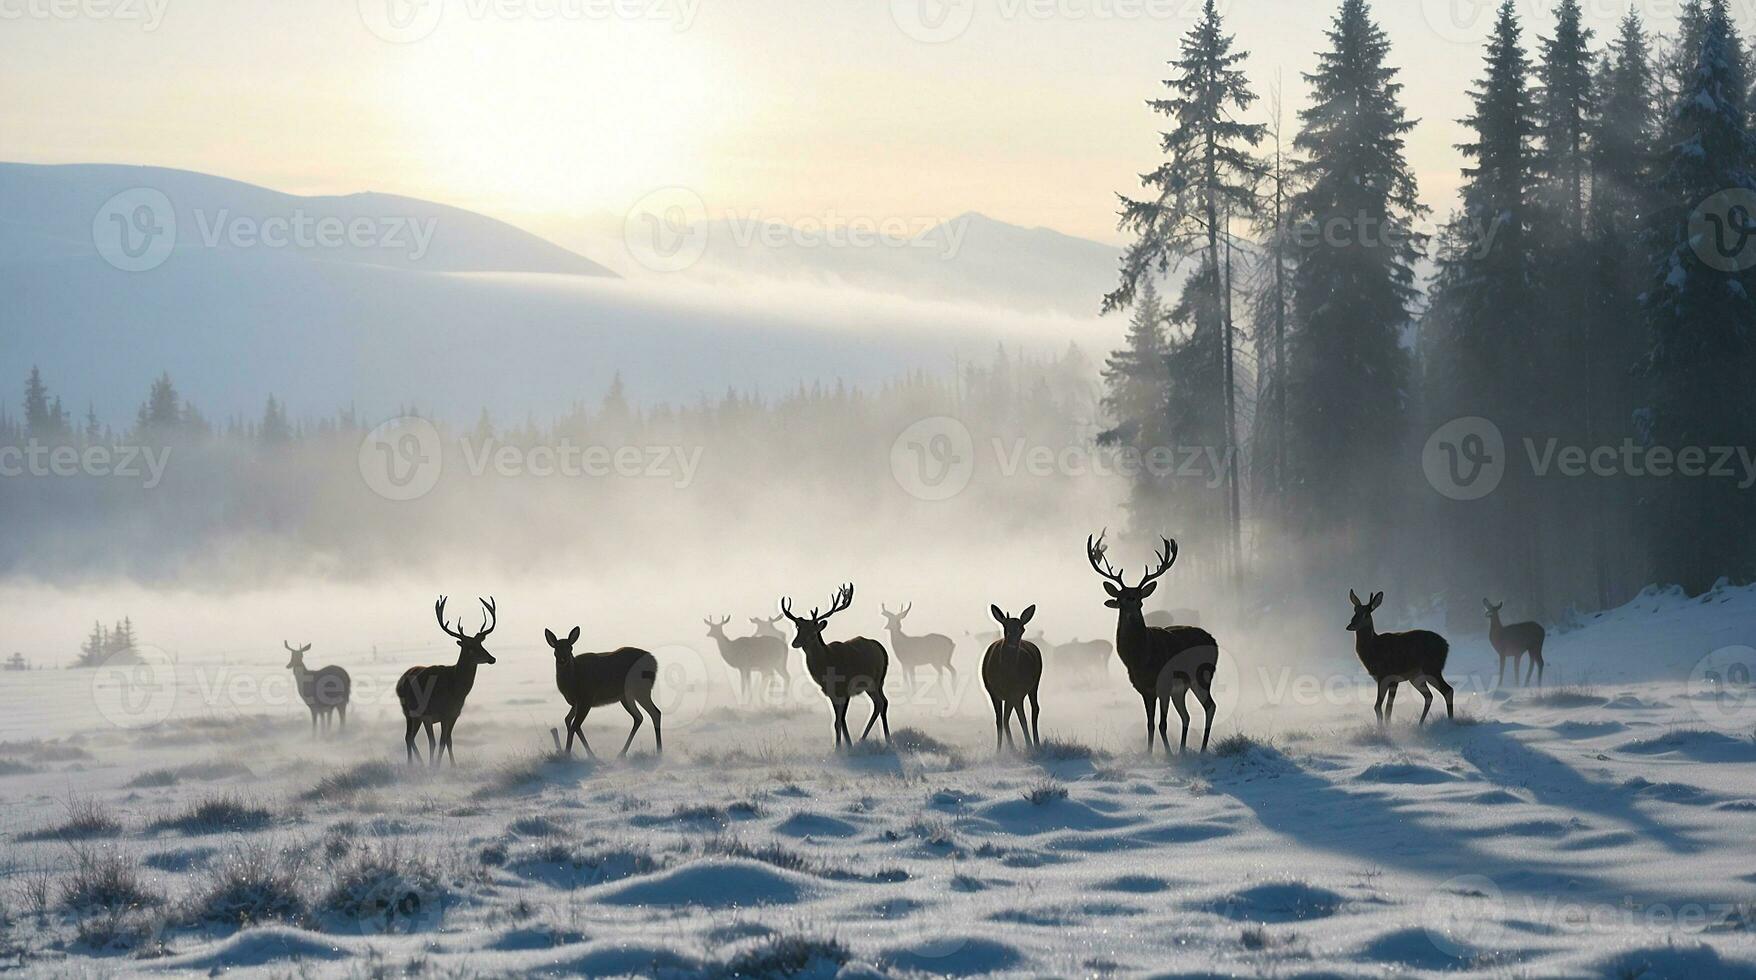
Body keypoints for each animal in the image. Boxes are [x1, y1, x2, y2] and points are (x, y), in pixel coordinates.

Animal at [400, 600, 502, 769]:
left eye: (481, 645)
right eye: (470, 648)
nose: (492, 658)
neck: (454, 691)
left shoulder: (454, 714)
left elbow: (447, 740)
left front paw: (452, 765)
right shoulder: (433, 714)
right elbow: (436, 742)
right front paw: (433, 766)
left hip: (417, 717)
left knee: (411, 737)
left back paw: (414, 763)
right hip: (410, 712)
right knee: (409, 737)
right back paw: (414, 764)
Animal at [783, 583, 892, 751]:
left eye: (812, 631)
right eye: (798, 628)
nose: (795, 643)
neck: (826, 667)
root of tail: (882, 649)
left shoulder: (845, 688)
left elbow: (839, 720)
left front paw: (842, 747)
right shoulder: (830, 693)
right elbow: (838, 721)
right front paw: (843, 745)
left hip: (874, 680)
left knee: (880, 703)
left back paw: (873, 739)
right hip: (877, 683)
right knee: (882, 702)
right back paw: (878, 739)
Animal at [983, 607, 1032, 751]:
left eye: (1022, 629)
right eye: (1005, 627)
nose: (1013, 642)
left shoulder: (1014, 693)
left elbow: (1010, 719)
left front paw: (1013, 748)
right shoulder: (993, 693)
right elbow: (999, 721)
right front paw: (999, 750)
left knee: (1031, 712)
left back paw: (1032, 744)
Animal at [1081, 533, 1222, 755]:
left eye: (1140, 601)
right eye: (1121, 601)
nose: (1131, 615)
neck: (1141, 659)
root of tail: (1213, 641)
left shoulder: (1163, 683)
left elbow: (1162, 724)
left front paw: (1168, 754)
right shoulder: (1144, 688)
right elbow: (1149, 723)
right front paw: (1149, 753)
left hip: (1202, 675)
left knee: (1210, 706)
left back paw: (1201, 749)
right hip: (1181, 688)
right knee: (1187, 715)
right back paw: (1183, 750)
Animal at [1341, 590, 1453, 730]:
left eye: (1366, 614)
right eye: (1355, 610)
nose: (1350, 625)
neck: (1373, 650)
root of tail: (1446, 645)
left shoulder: (1388, 675)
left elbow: (1381, 706)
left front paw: (1383, 729)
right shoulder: (1388, 679)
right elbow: (1385, 707)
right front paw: (1385, 728)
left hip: (1432, 668)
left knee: (1448, 690)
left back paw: (1451, 722)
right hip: (1416, 677)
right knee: (1429, 695)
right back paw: (1420, 724)